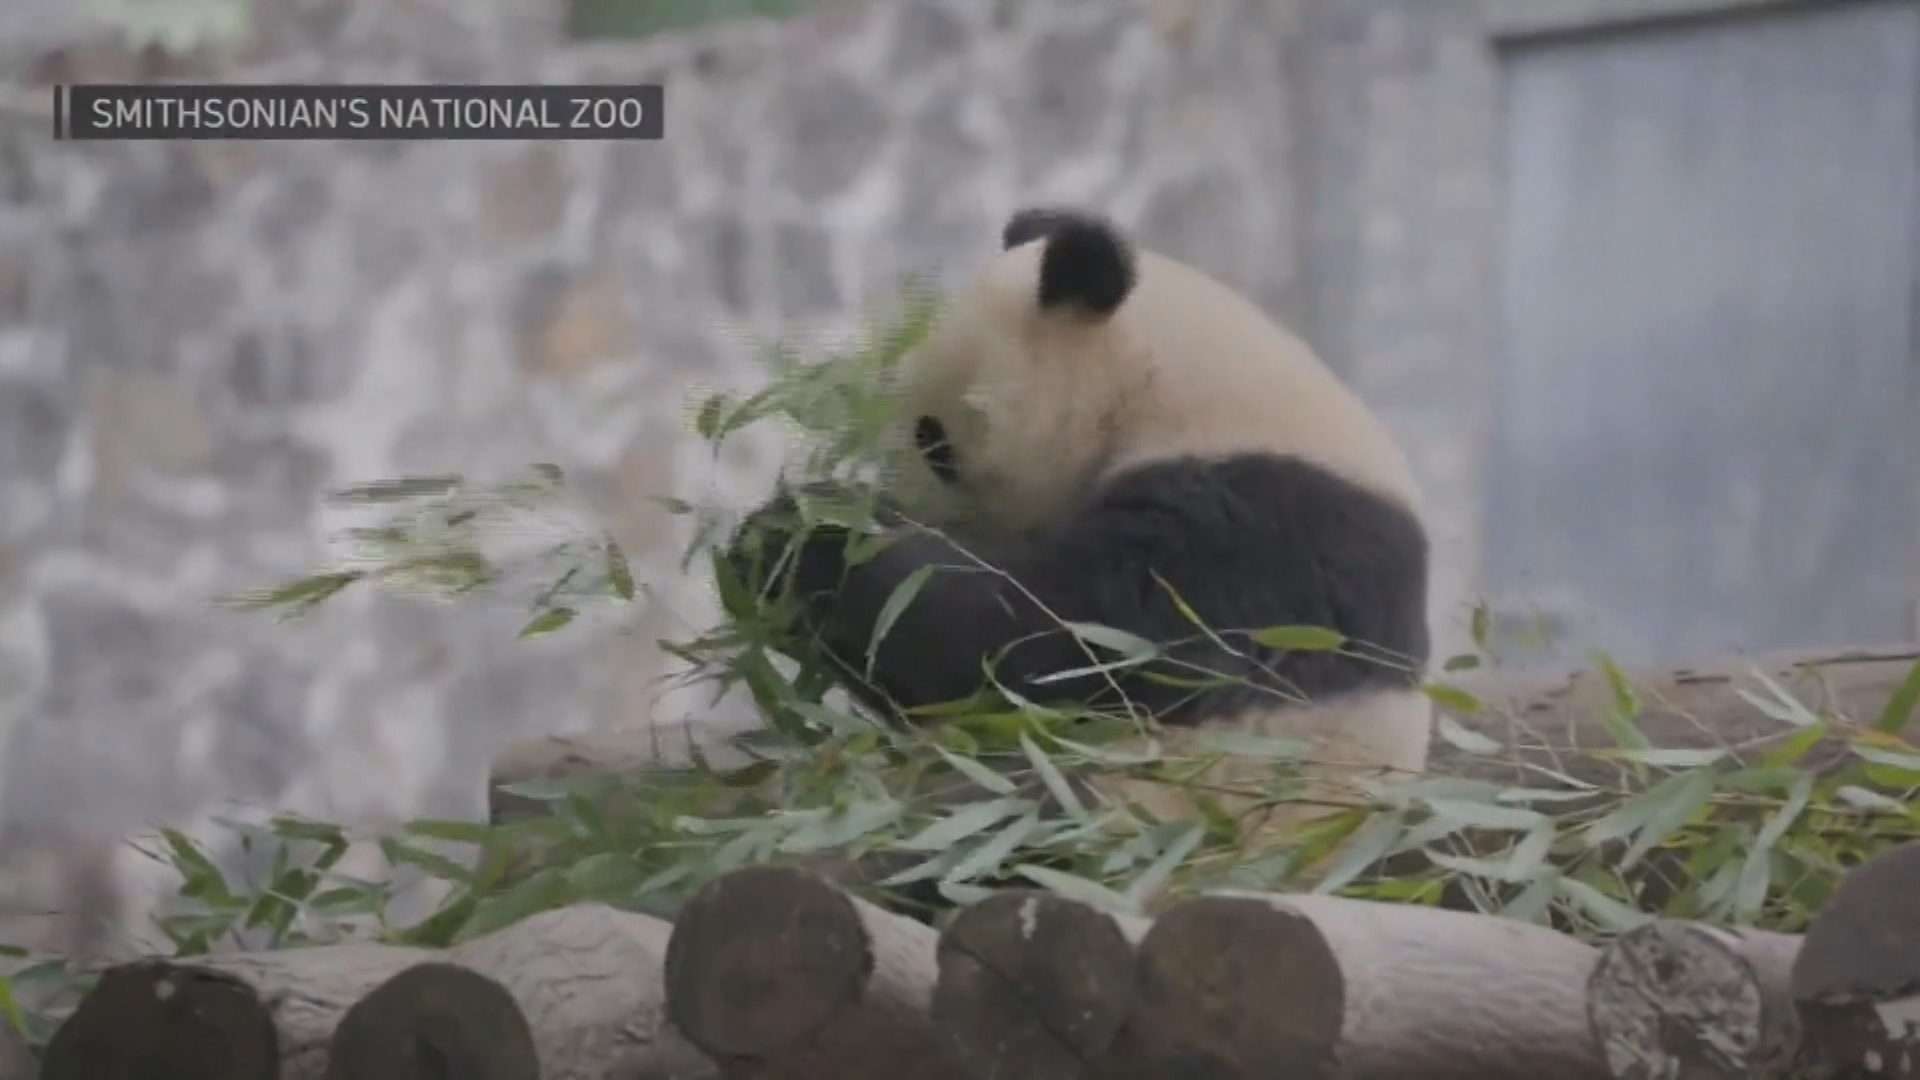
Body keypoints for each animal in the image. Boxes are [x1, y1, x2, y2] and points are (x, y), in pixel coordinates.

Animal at [725, 205, 1436, 895]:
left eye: (934, 439)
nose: (907, 500)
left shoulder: (1253, 535)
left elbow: (1045, 642)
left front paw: (803, 533)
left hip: (1157, 813)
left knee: (1015, 826)